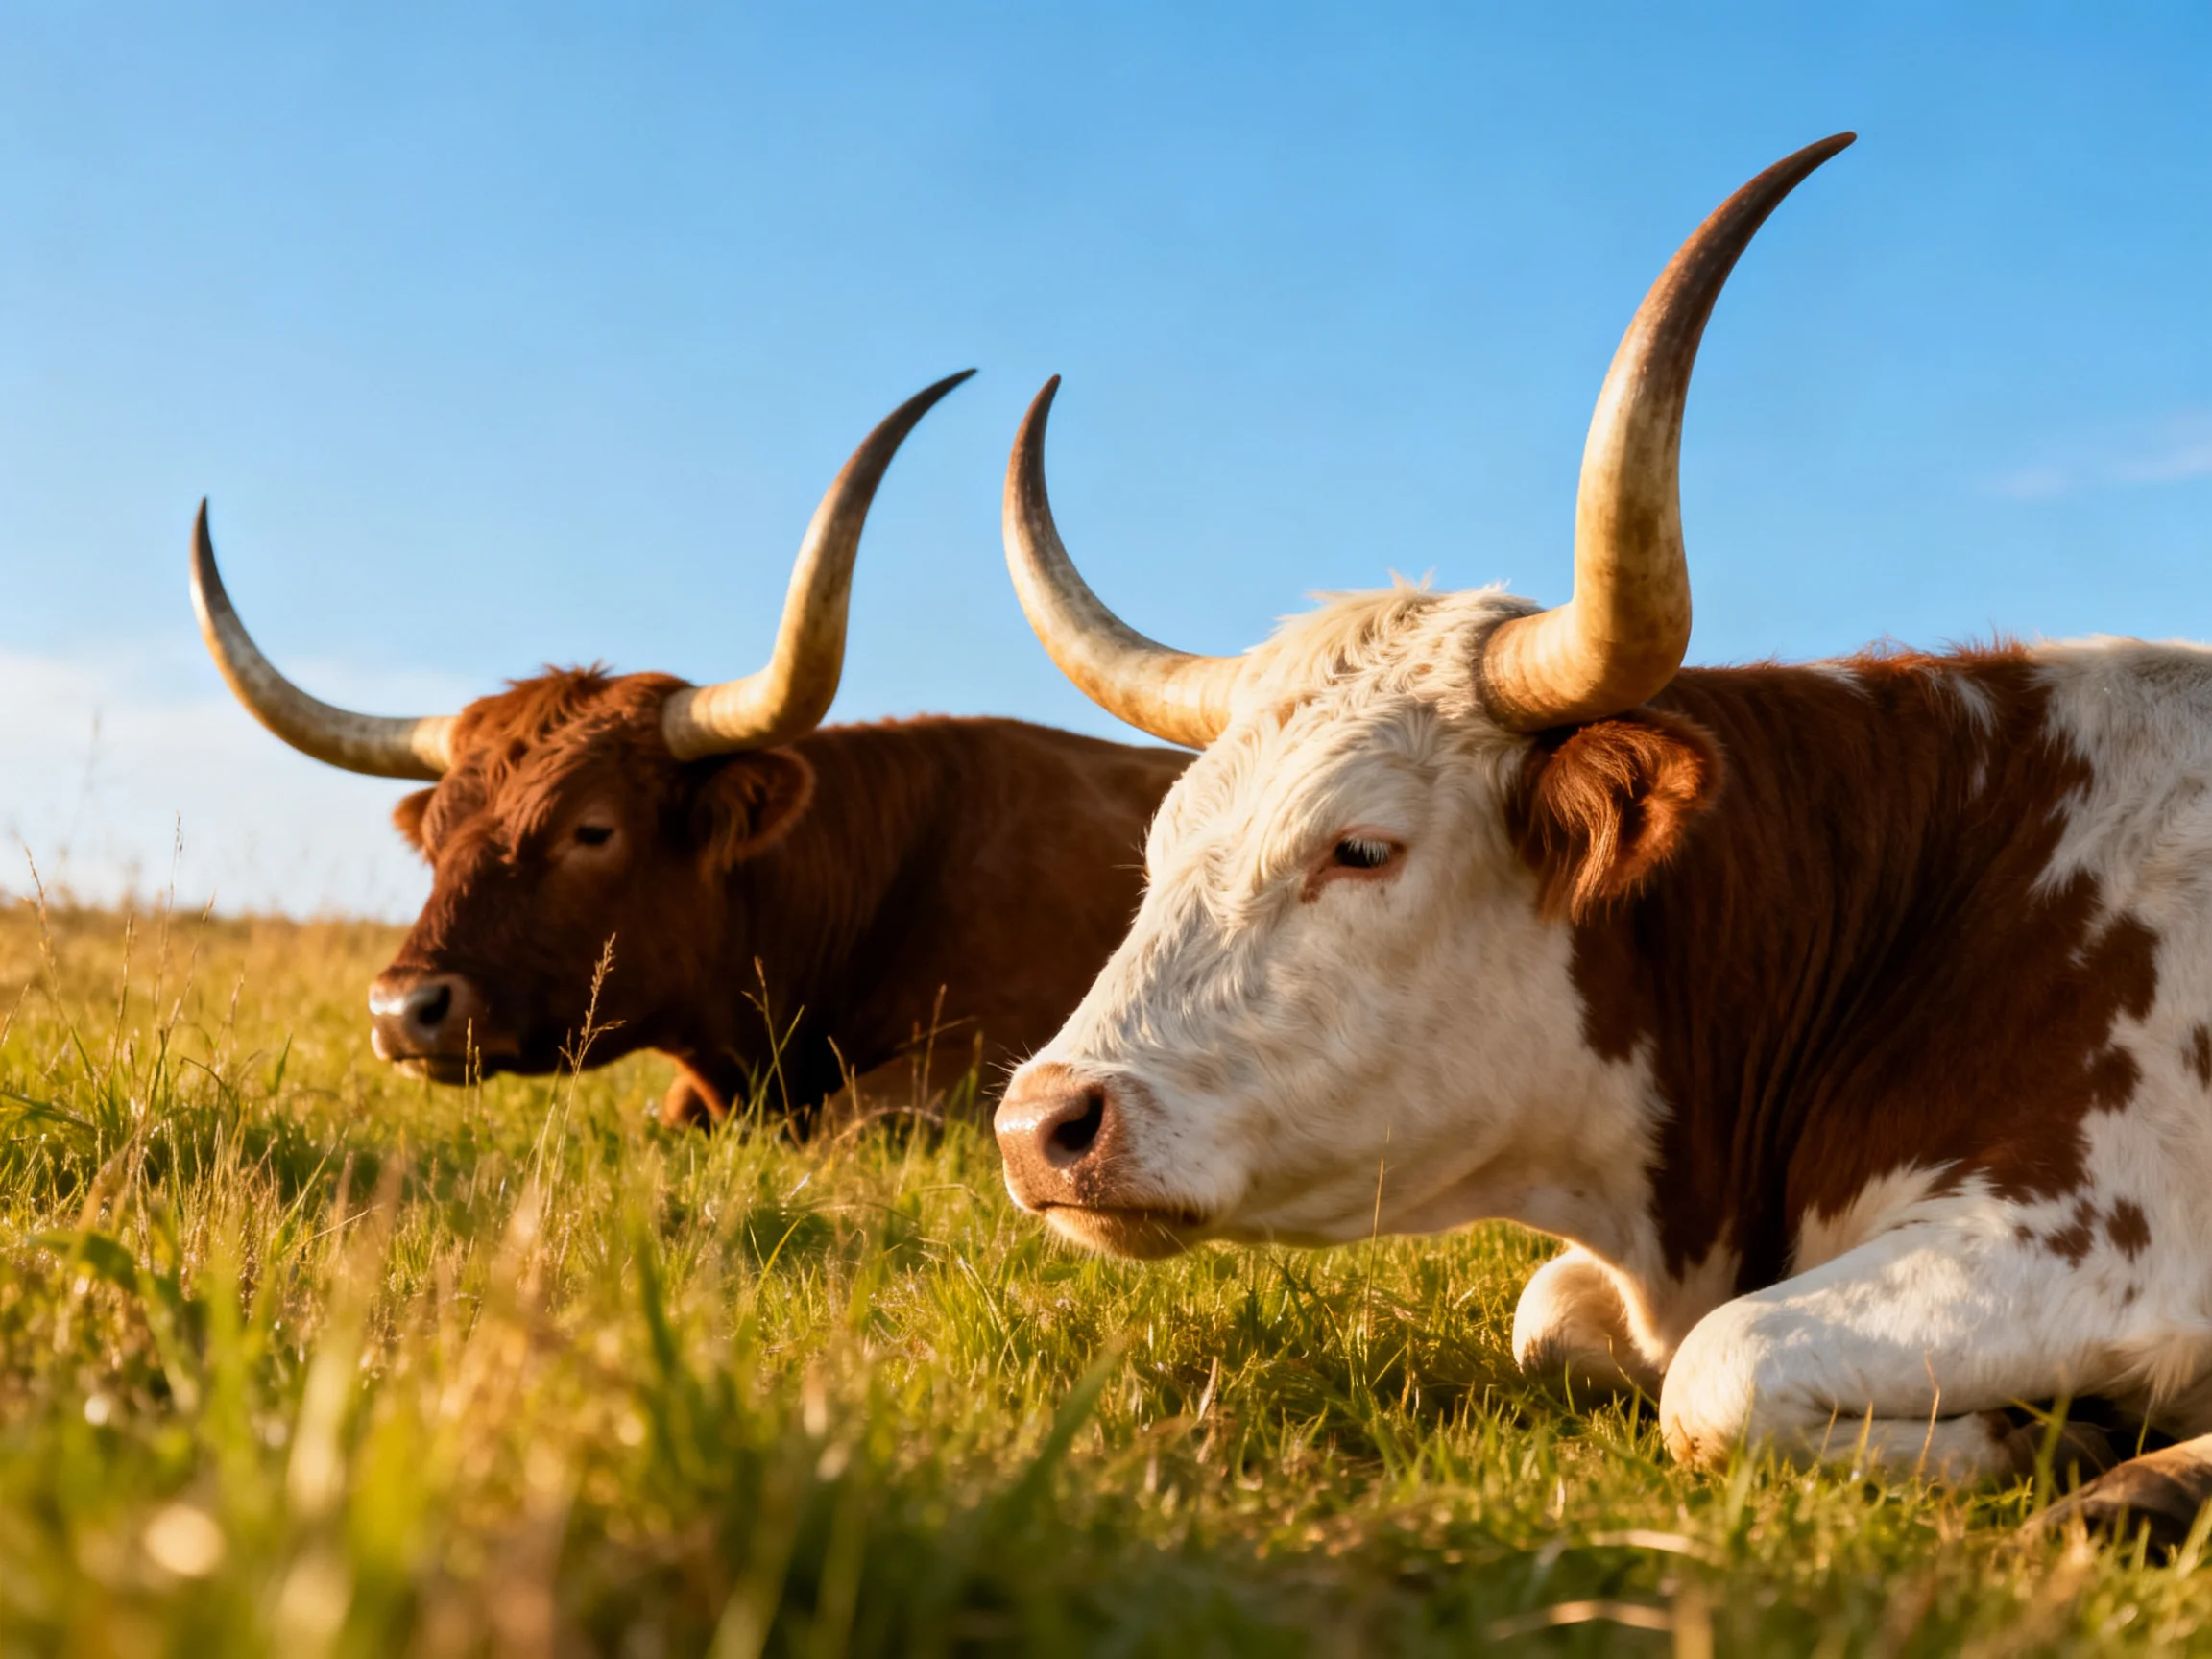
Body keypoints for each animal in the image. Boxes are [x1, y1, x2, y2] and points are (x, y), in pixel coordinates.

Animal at [987, 135, 2212, 1541]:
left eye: (1361, 849)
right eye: (1160, 850)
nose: (1043, 1126)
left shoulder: (2099, 1235)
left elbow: (1720, 1369)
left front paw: (2035, 1435)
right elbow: (1555, 1317)